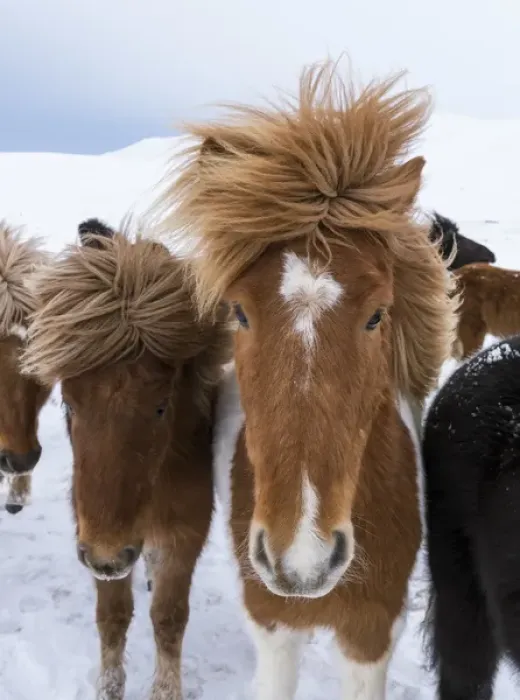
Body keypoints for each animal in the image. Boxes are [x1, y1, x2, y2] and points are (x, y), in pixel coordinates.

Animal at [21, 218, 232, 700]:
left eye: (161, 406)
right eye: (68, 405)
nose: (108, 556)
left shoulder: (184, 535)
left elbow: (168, 619)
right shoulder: (93, 534)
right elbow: (113, 619)